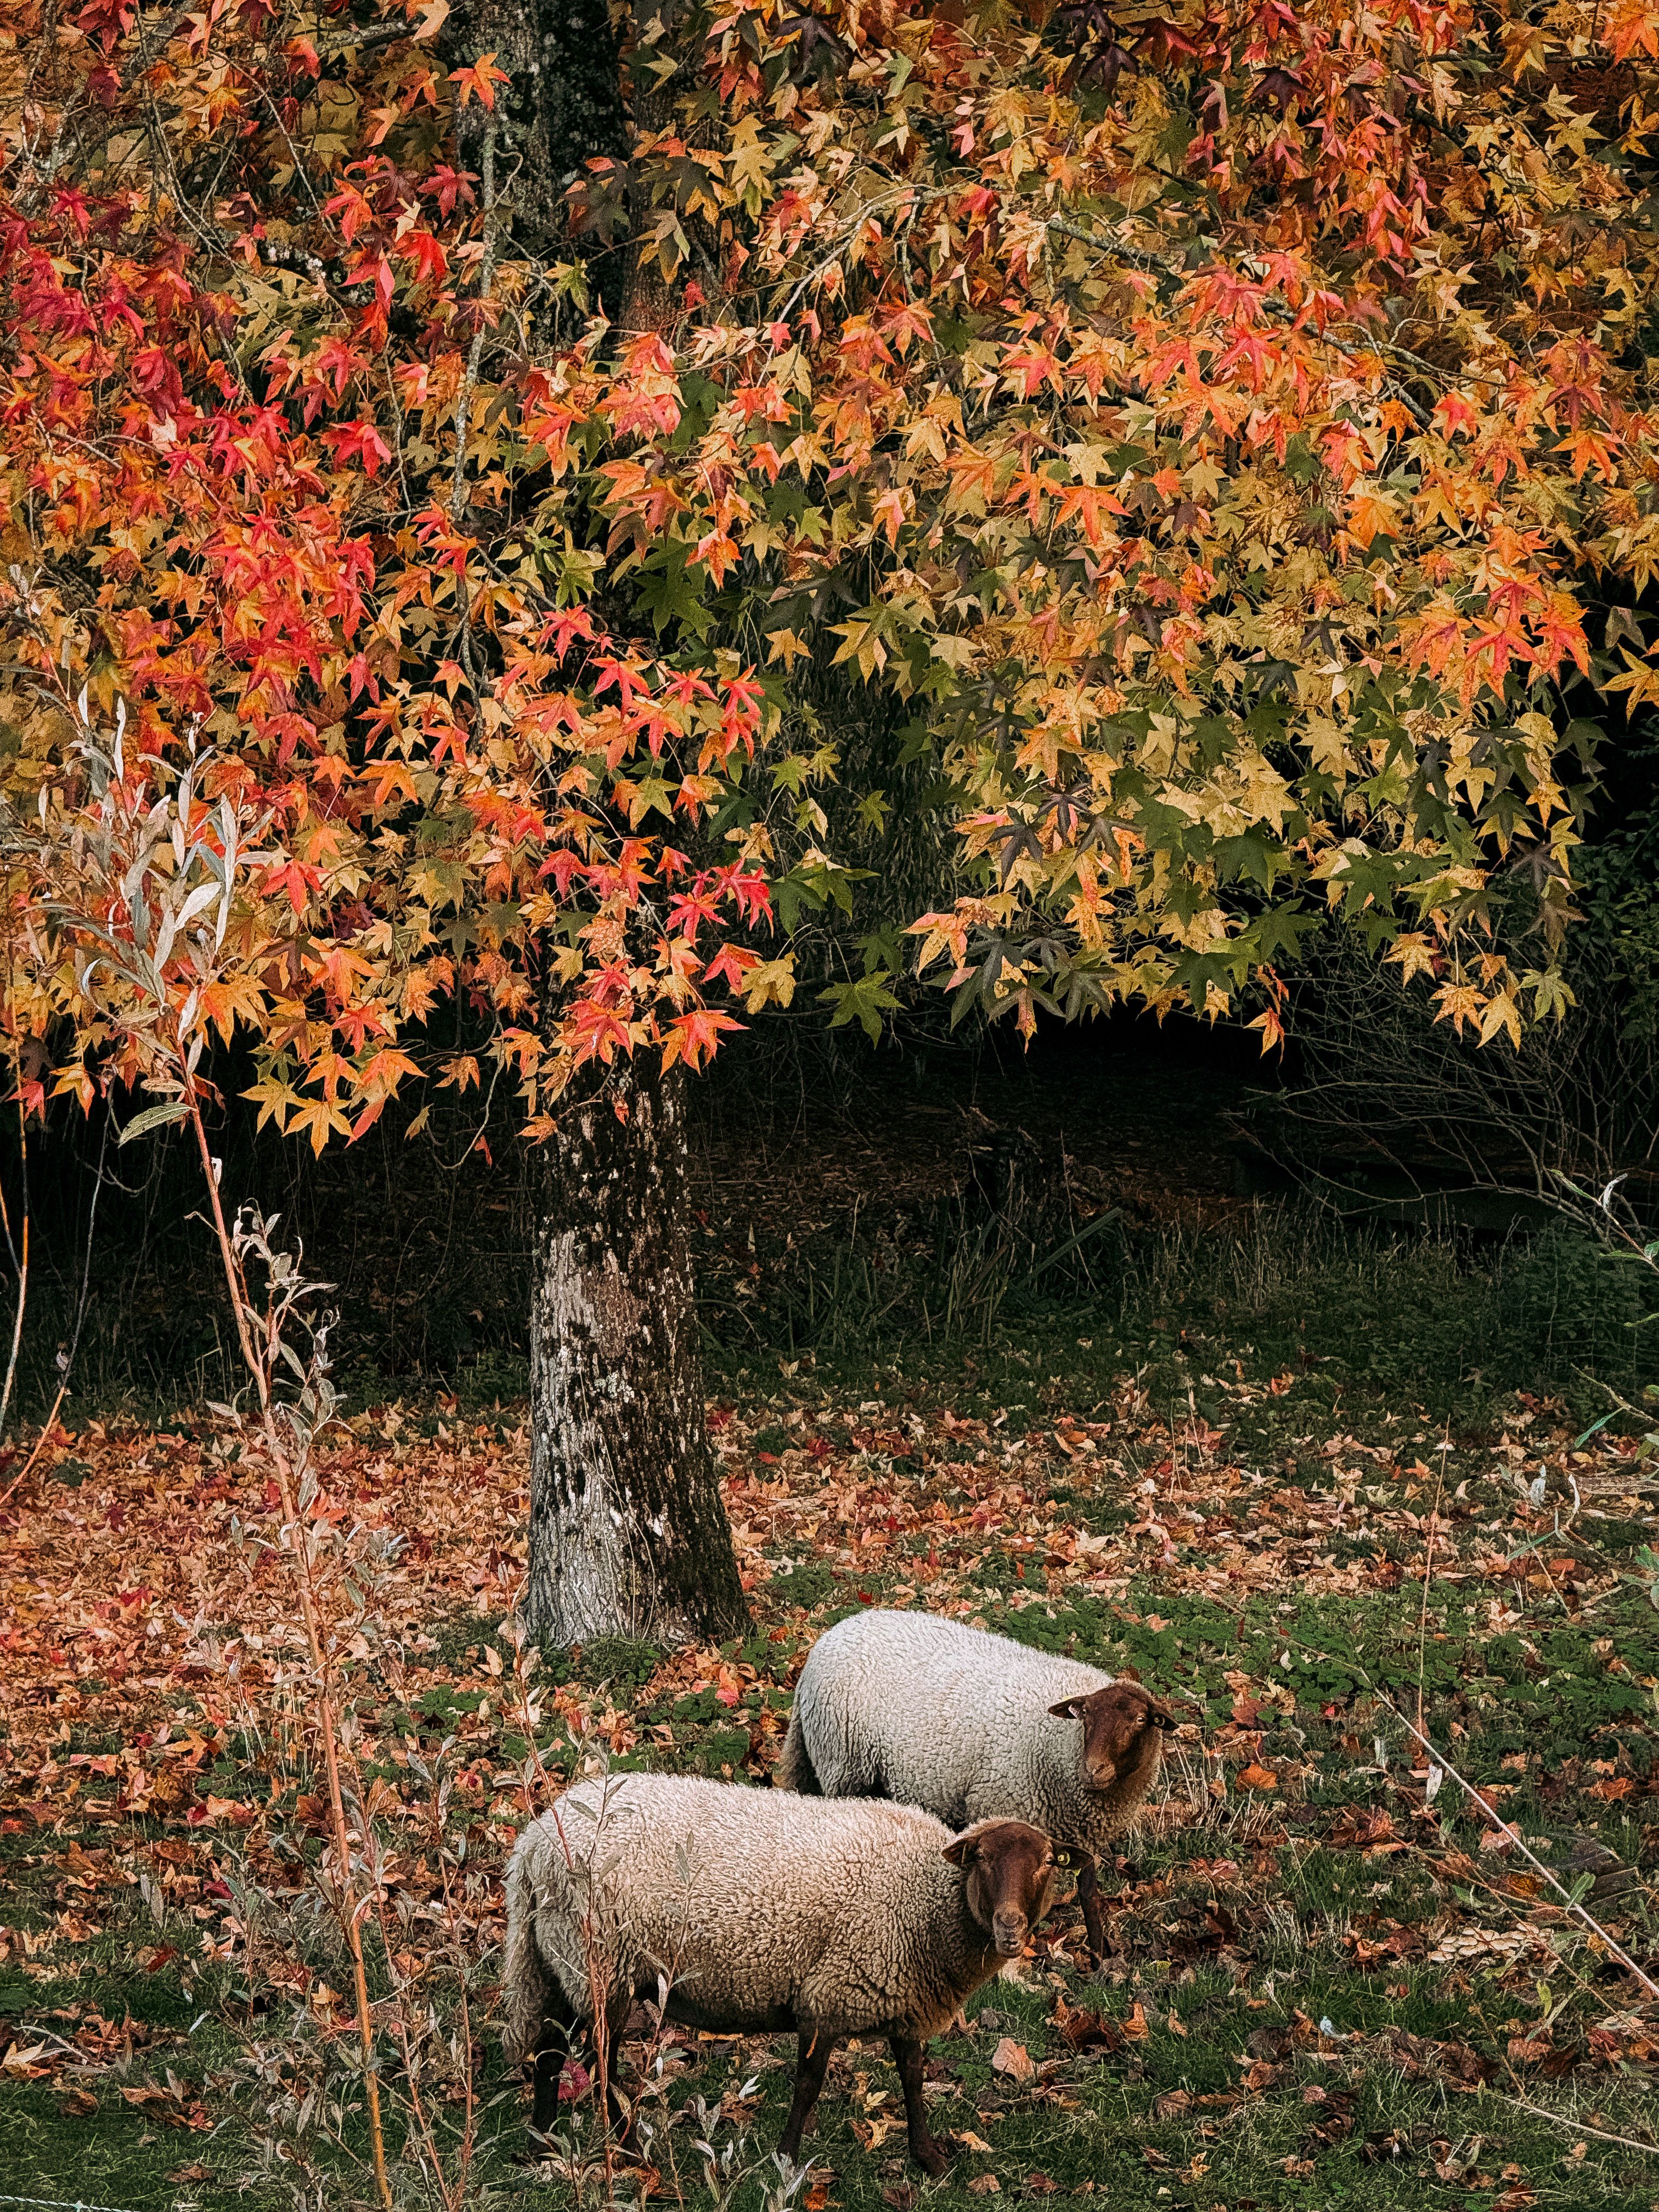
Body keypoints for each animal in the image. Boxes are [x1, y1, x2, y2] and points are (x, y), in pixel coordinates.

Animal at [501, 1770, 1060, 2175]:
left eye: (1048, 1862)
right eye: (982, 1859)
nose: (1010, 1928)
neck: (927, 1898)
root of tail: (532, 1845)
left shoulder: (901, 1996)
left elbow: (913, 2080)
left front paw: (928, 2159)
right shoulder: (829, 1994)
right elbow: (808, 2085)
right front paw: (787, 2161)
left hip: (562, 1958)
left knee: (550, 2051)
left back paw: (543, 2139)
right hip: (601, 1962)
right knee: (599, 2063)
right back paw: (629, 2148)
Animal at [778, 1609, 1176, 1961]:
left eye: (1142, 1720)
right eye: (1086, 1716)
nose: (1093, 1771)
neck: (1061, 1747)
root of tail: (829, 1638)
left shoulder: (1082, 1832)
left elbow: (1090, 1895)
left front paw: (1099, 1955)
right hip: (843, 1764)